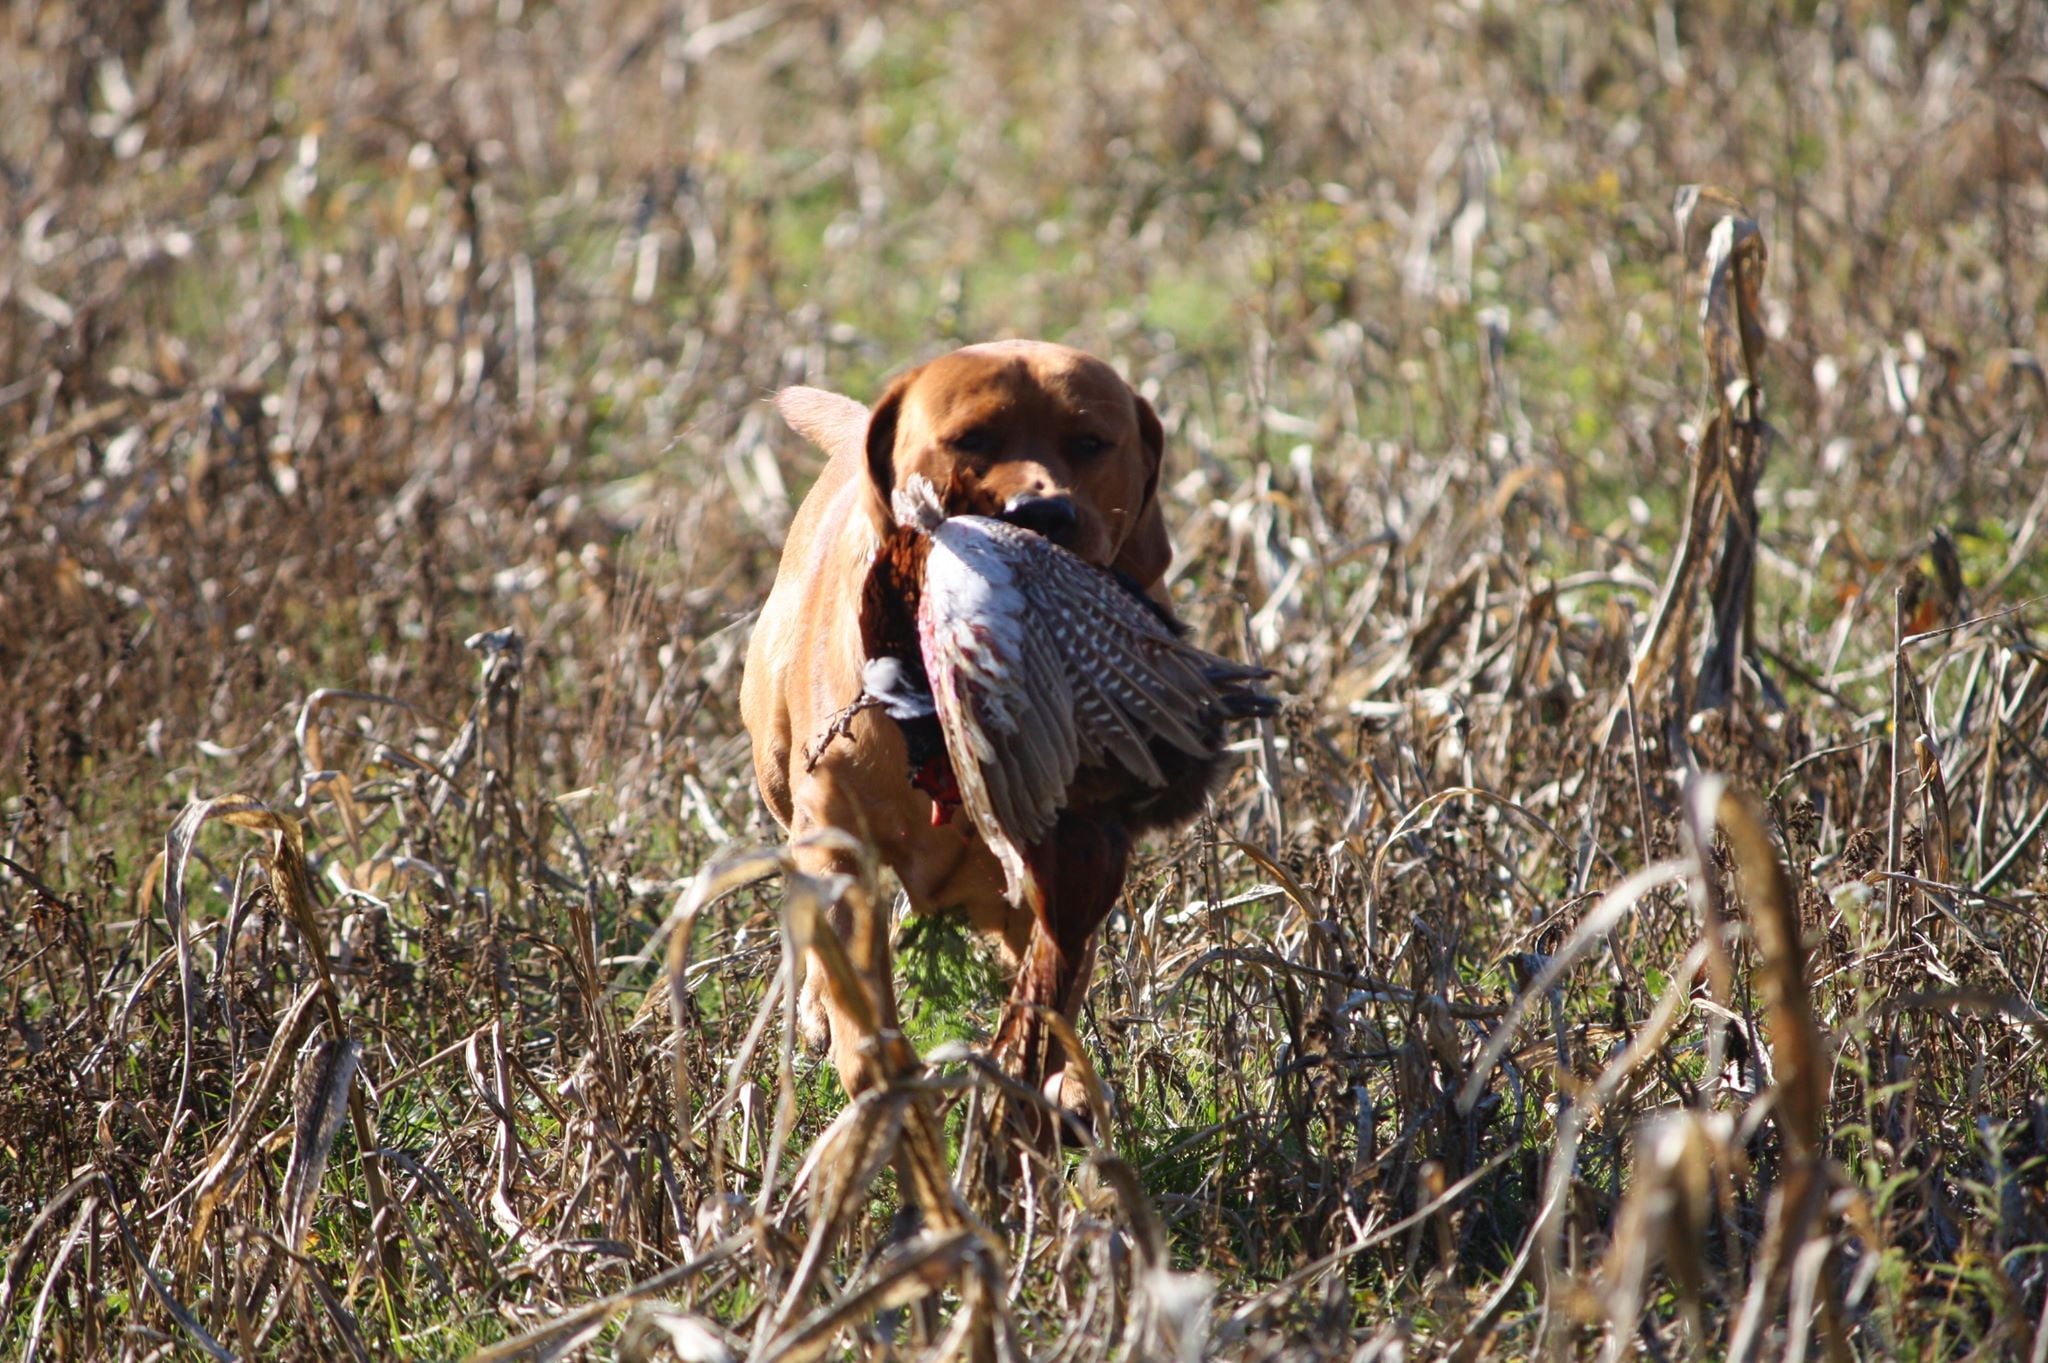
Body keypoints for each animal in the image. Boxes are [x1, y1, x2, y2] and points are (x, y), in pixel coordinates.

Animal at [745, 337, 1179, 1105]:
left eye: (1091, 442)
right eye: (971, 439)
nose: (1040, 513)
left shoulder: (1068, 872)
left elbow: (1051, 986)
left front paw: (1047, 1086)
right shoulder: (835, 839)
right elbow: (856, 992)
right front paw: (879, 1078)